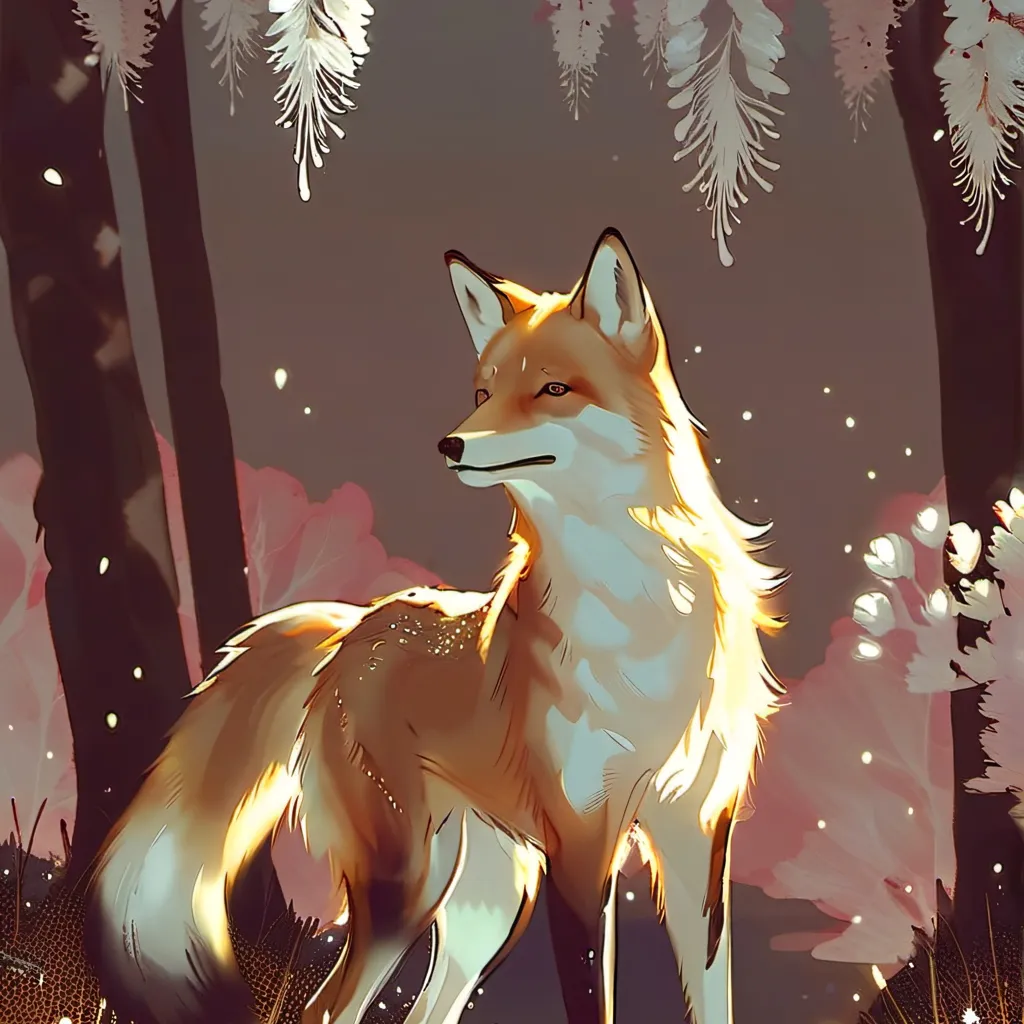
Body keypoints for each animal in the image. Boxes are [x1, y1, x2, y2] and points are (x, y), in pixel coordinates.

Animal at [85, 227, 786, 1024]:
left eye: (552, 389)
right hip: (411, 884)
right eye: (483, 393)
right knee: (327, 1009)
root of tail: (356, 624)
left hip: (489, 905)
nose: (451, 444)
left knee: (425, 1009)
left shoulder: (700, 838)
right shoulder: (581, 846)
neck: (639, 618)